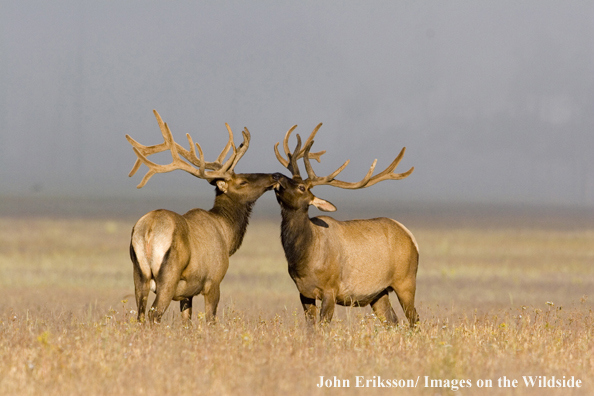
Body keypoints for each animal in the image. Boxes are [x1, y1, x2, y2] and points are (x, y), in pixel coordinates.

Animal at [125, 110, 278, 324]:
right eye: (243, 181)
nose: (275, 176)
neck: (226, 234)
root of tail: (148, 230)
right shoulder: (213, 281)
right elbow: (211, 320)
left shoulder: (187, 293)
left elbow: (187, 322)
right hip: (168, 276)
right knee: (154, 314)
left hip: (139, 275)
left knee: (139, 315)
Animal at [272, 125, 416, 326]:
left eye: (301, 187)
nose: (276, 175)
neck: (303, 258)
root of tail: (410, 235)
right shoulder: (303, 292)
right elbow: (311, 327)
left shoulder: (330, 289)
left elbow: (323, 326)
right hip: (379, 293)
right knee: (392, 321)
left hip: (406, 280)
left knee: (414, 320)